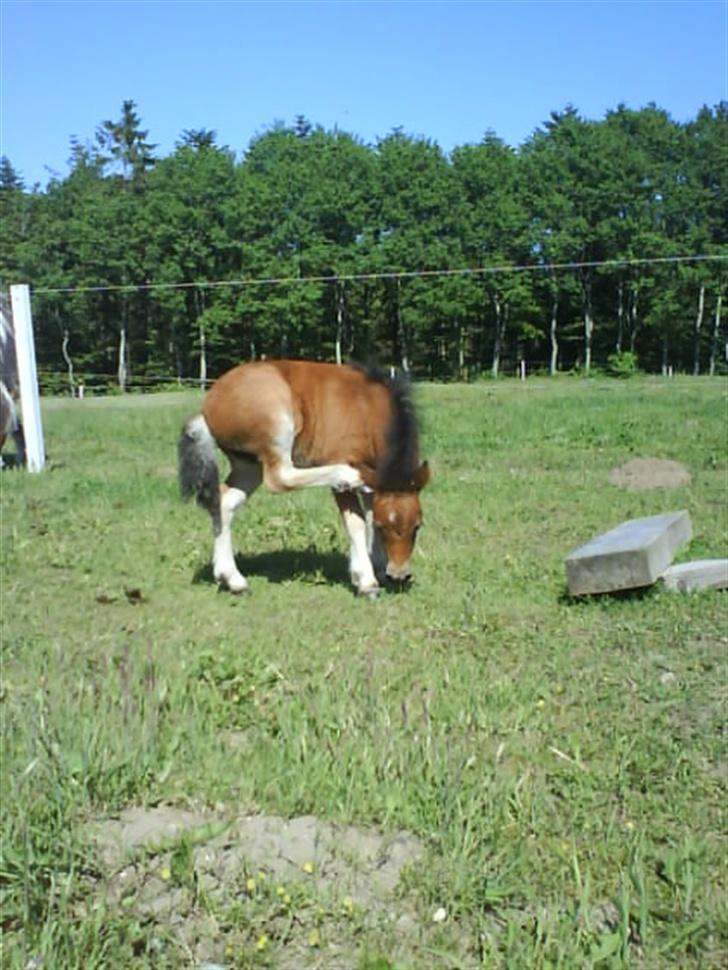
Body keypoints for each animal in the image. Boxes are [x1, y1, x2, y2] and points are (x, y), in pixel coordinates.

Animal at [180, 360, 430, 592]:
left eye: (417, 526)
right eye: (383, 527)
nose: (399, 575)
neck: (367, 409)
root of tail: (207, 409)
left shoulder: (377, 476)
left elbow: (370, 511)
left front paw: (377, 566)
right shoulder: (347, 466)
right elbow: (357, 522)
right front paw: (365, 580)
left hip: (248, 465)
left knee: (224, 501)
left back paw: (231, 579)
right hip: (277, 424)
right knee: (280, 478)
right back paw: (348, 475)